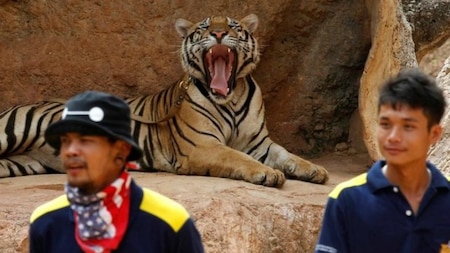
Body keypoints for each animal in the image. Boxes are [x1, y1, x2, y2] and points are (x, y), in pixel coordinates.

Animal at [0, 14, 328, 188]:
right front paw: (268, 174)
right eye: (204, 27)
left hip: (22, 163)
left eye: (234, 26)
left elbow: (286, 154)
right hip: (13, 131)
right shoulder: (202, 145)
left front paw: (314, 169)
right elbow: (236, 157)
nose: (218, 33)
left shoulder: (259, 143)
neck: (231, 98)